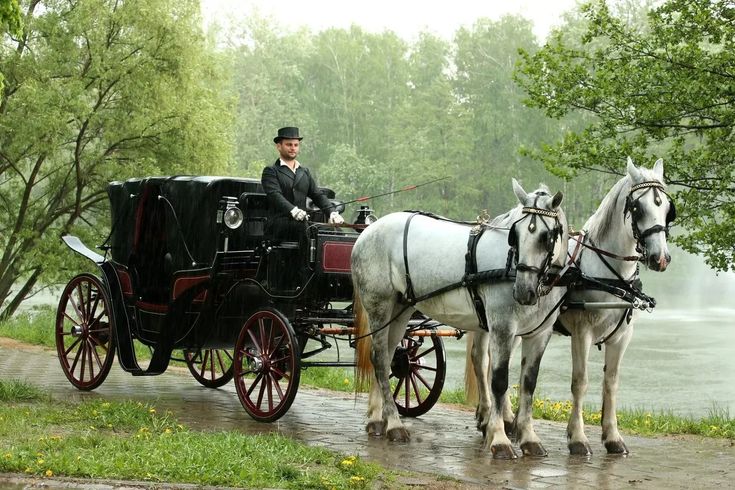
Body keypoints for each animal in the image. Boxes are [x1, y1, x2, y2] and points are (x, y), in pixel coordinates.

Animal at [354, 180, 572, 460]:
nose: (524, 291)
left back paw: (376, 419)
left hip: (400, 310)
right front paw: (500, 439)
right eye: (515, 235)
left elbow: (528, 384)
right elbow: (499, 381)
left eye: (546, 236)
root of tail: (368, 231)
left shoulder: (539, 334)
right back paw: (394, 424)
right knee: (380, 360)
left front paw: (529, 438)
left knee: (387, 357)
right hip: (379, 306)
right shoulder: (502, 328)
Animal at [468, 157, 676, 456]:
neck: (607, 272)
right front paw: (577, 437)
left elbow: (611, 382)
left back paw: (508, 420)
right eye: (638, 207)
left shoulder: (622, 337)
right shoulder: (582, 333)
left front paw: (612, 436)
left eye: (667, 208)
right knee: (482, 361)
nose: (661, 258)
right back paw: (488, 418)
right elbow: (580, 381)